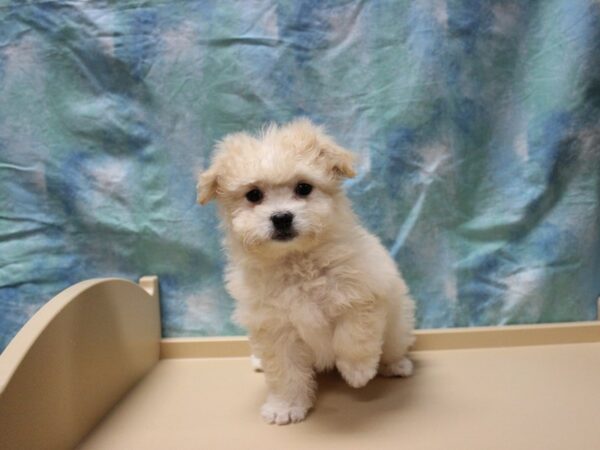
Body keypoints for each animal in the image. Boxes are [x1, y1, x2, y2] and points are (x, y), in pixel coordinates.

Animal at [199, 118, 414, 424]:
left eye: (303, 188)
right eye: (254, 195)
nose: (281, 217)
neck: (297, 261)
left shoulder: (363, 292)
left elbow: (354, 334)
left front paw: (357, 371)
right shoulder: (274, 327)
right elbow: (284, 372)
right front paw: (285, 407)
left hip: (398, 324)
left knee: (395, 343)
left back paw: (396, 365)